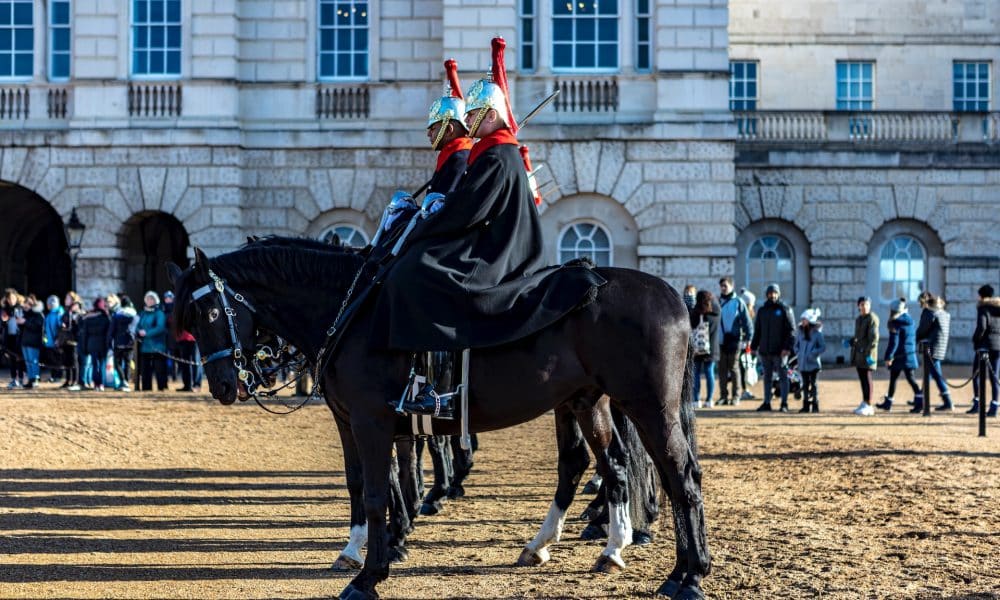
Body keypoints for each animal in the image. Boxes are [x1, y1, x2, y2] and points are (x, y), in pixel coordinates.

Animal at [168, 240, 708, 600]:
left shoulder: (373, 422)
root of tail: (671, 294)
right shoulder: (351, 422)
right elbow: (361, 484)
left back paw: (687, 574)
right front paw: (362, 548)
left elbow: (379, 490)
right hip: (586, 401)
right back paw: (599, 547)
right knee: (609, 465)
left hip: (646, 406)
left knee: (677, 475)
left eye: (209, 312)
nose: (223, 386)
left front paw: (371, 572)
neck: (353, 311)